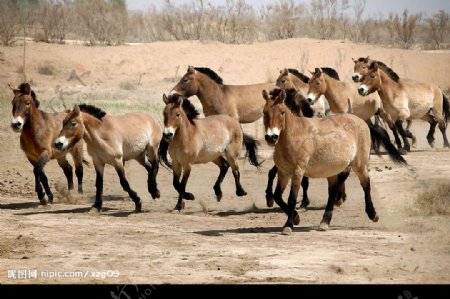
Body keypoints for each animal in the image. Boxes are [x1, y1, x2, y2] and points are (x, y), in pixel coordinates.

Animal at [262, 90, 406, 236]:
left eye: (282, 112)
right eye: (264, 112)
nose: (271, 137)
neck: (295, 135)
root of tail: (360, 120)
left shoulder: (298, 172)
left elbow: (291, 198)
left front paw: (288, 225)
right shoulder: (283, 172)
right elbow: (277, 196)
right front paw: (296, 218)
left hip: (360, 165)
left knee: (366, 185)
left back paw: (373, 214)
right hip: (333, 170)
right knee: (333, 191)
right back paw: (325, 221)